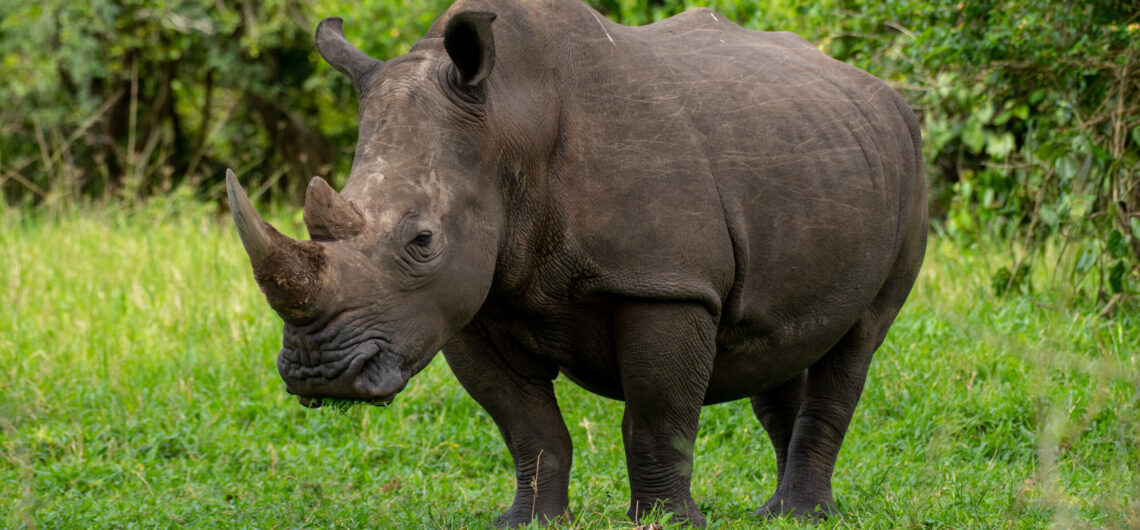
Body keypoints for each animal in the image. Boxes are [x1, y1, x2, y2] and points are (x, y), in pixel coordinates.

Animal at [225, 0, 927, 526]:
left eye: (422, 240)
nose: (320, 375)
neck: (507, 121)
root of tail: (879, 90)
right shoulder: (468, 302)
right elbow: (527, 426)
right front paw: (527, 522)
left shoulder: (665, 284)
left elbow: (656, 419)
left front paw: (666, 523)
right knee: (777, 339)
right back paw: (775, 514)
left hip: (908, 162)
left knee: (858, 340)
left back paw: (804, 514)